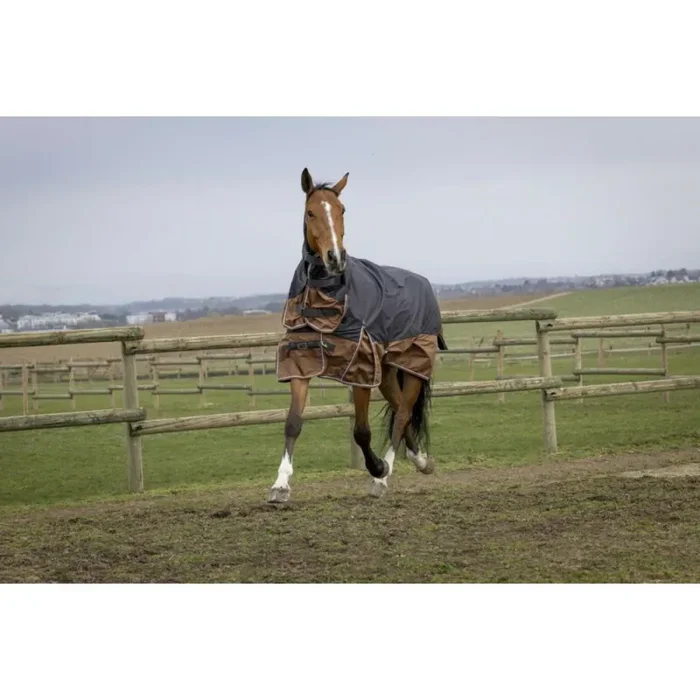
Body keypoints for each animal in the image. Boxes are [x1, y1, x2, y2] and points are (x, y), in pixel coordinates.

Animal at [269, 168, 447, 503]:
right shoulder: (301, 363)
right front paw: (280, 485)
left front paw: (377, 468)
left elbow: (361, 431)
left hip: (413, 365)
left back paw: (383, 478)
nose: (335, 257)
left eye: (342, 210)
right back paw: (421, 461)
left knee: (402, 414)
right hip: (388, 370)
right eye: (310, 212)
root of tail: (423, 282)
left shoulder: (360, 367)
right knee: (402, 412)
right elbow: (292, 423)